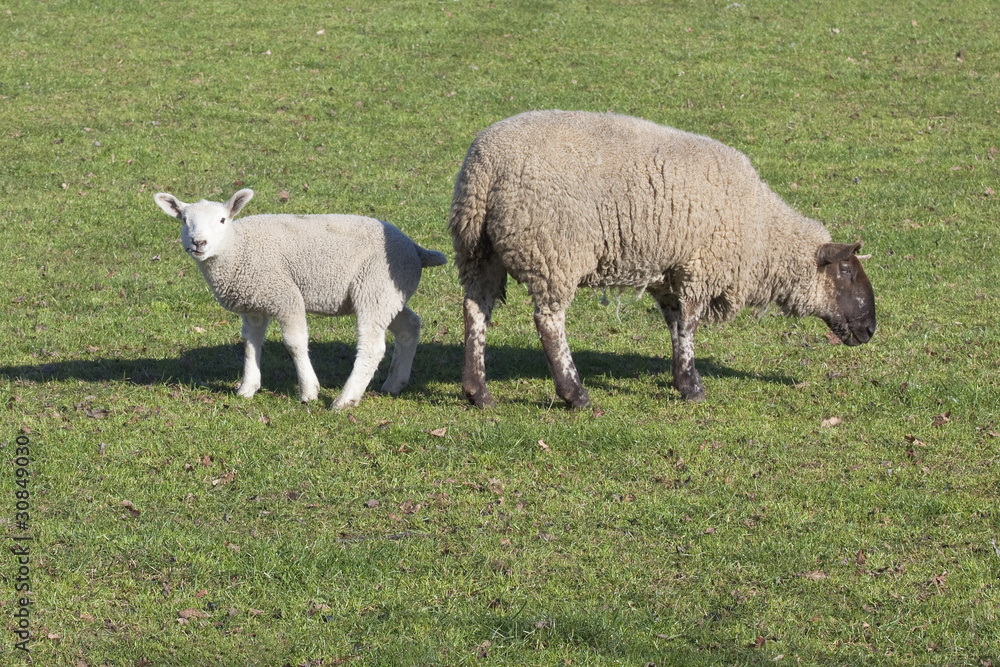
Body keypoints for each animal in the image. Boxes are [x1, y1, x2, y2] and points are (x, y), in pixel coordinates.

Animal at [154, 189, 447, 409]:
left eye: (223, 220)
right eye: (184, 220)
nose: (198, 242)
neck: (237, 248)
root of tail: (415, 249)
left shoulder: (285, 296)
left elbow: (294, 343)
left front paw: (309, 391)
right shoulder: (254, 303)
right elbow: (250, 343)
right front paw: (247, 388)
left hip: (374, 289)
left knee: (373, 347)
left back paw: (344, 400)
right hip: (388, 294)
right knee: (410, 325)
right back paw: (395, 383)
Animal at [449, 110, 876, 408]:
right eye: (845, 270)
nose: (870, 329)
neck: (761, 230)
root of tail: (485, 168)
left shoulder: (670, 270)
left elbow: (674, 323)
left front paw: (680, 379)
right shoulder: (700, 267)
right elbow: (689, 325)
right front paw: (692, 387)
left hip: (478, 250)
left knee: (476, 310)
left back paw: (478, 392)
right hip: (553, 250)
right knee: (549, 321)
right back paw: (575, 394)